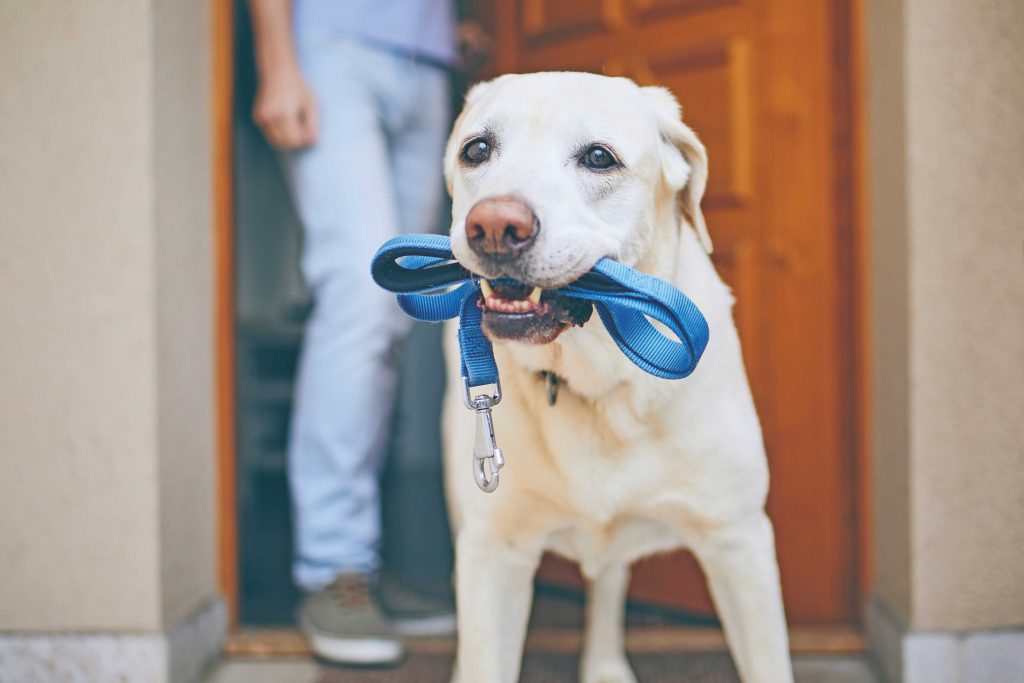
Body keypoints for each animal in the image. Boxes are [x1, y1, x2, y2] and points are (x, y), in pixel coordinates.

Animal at [440, 72, 790, 679]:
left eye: (599, 157)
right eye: (476, 150)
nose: (494, 225)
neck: (600, 383)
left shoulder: (739, 541)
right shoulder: (494, 551)